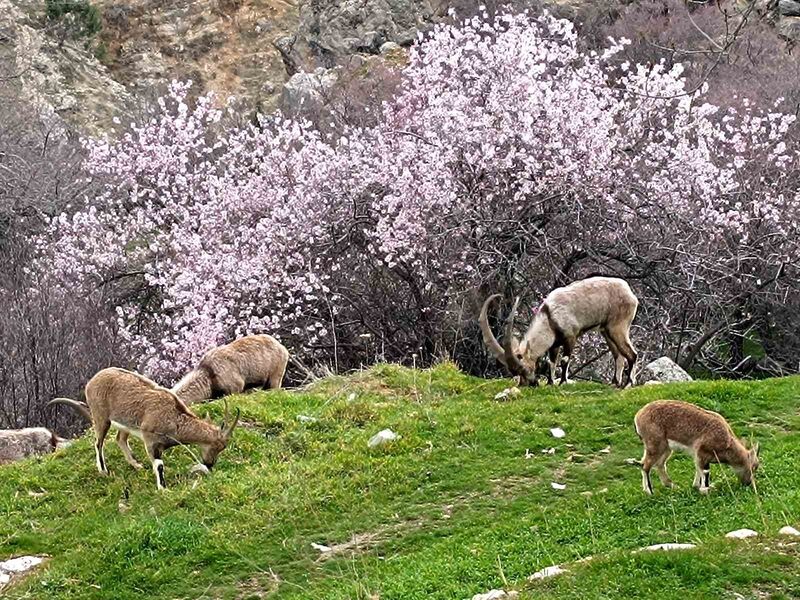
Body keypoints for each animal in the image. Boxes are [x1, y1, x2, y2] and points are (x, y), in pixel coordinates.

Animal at [47, 368, 238, 490]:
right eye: (216, 446)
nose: (209, 464)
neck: (174, 417)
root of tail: (92, 381)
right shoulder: (150, 439)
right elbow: (159, 465)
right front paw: (163, 488)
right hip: (101, 417)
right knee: (98, 442)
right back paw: (103, 471)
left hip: (125, 423)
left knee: (120, 439)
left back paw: (136, 464)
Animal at [482, 278, 636, 390]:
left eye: (524, 368)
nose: (530, 384)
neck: (550, 317)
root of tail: (630, 293)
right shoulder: (554, 344)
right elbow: (552, 362)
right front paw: (550, 383)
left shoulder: (571, 337)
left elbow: (564, 360)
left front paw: (562, 382)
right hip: (606, 331)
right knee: (618, 356)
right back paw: (615, 383)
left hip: (618, 327)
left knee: (632, 354)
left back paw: (628, 384)